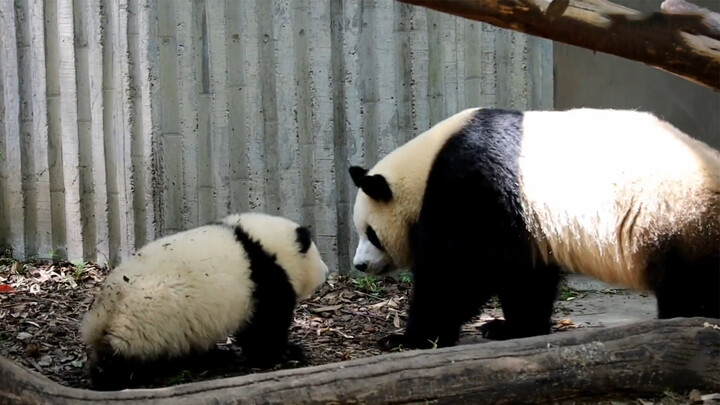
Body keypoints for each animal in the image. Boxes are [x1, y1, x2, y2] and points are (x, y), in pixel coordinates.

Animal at [80, 211, 328, 388]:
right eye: (317, 255)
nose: (326, 271)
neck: (261, 244)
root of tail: (102, 316)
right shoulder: (263, 279)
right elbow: (264, 329)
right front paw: (287, 353)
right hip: (146, 323)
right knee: (120, 360)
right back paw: (109, 379)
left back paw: (217, 357)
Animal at [348, 107, 720, 350]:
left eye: (370, 233)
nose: (359, 265)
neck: (424, 167)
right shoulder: (523, 221)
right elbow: (525, 277)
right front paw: (511, 328)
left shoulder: (471, 188)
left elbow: (455, 273)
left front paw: (405, 338)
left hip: (679, 219)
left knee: (690, 288)